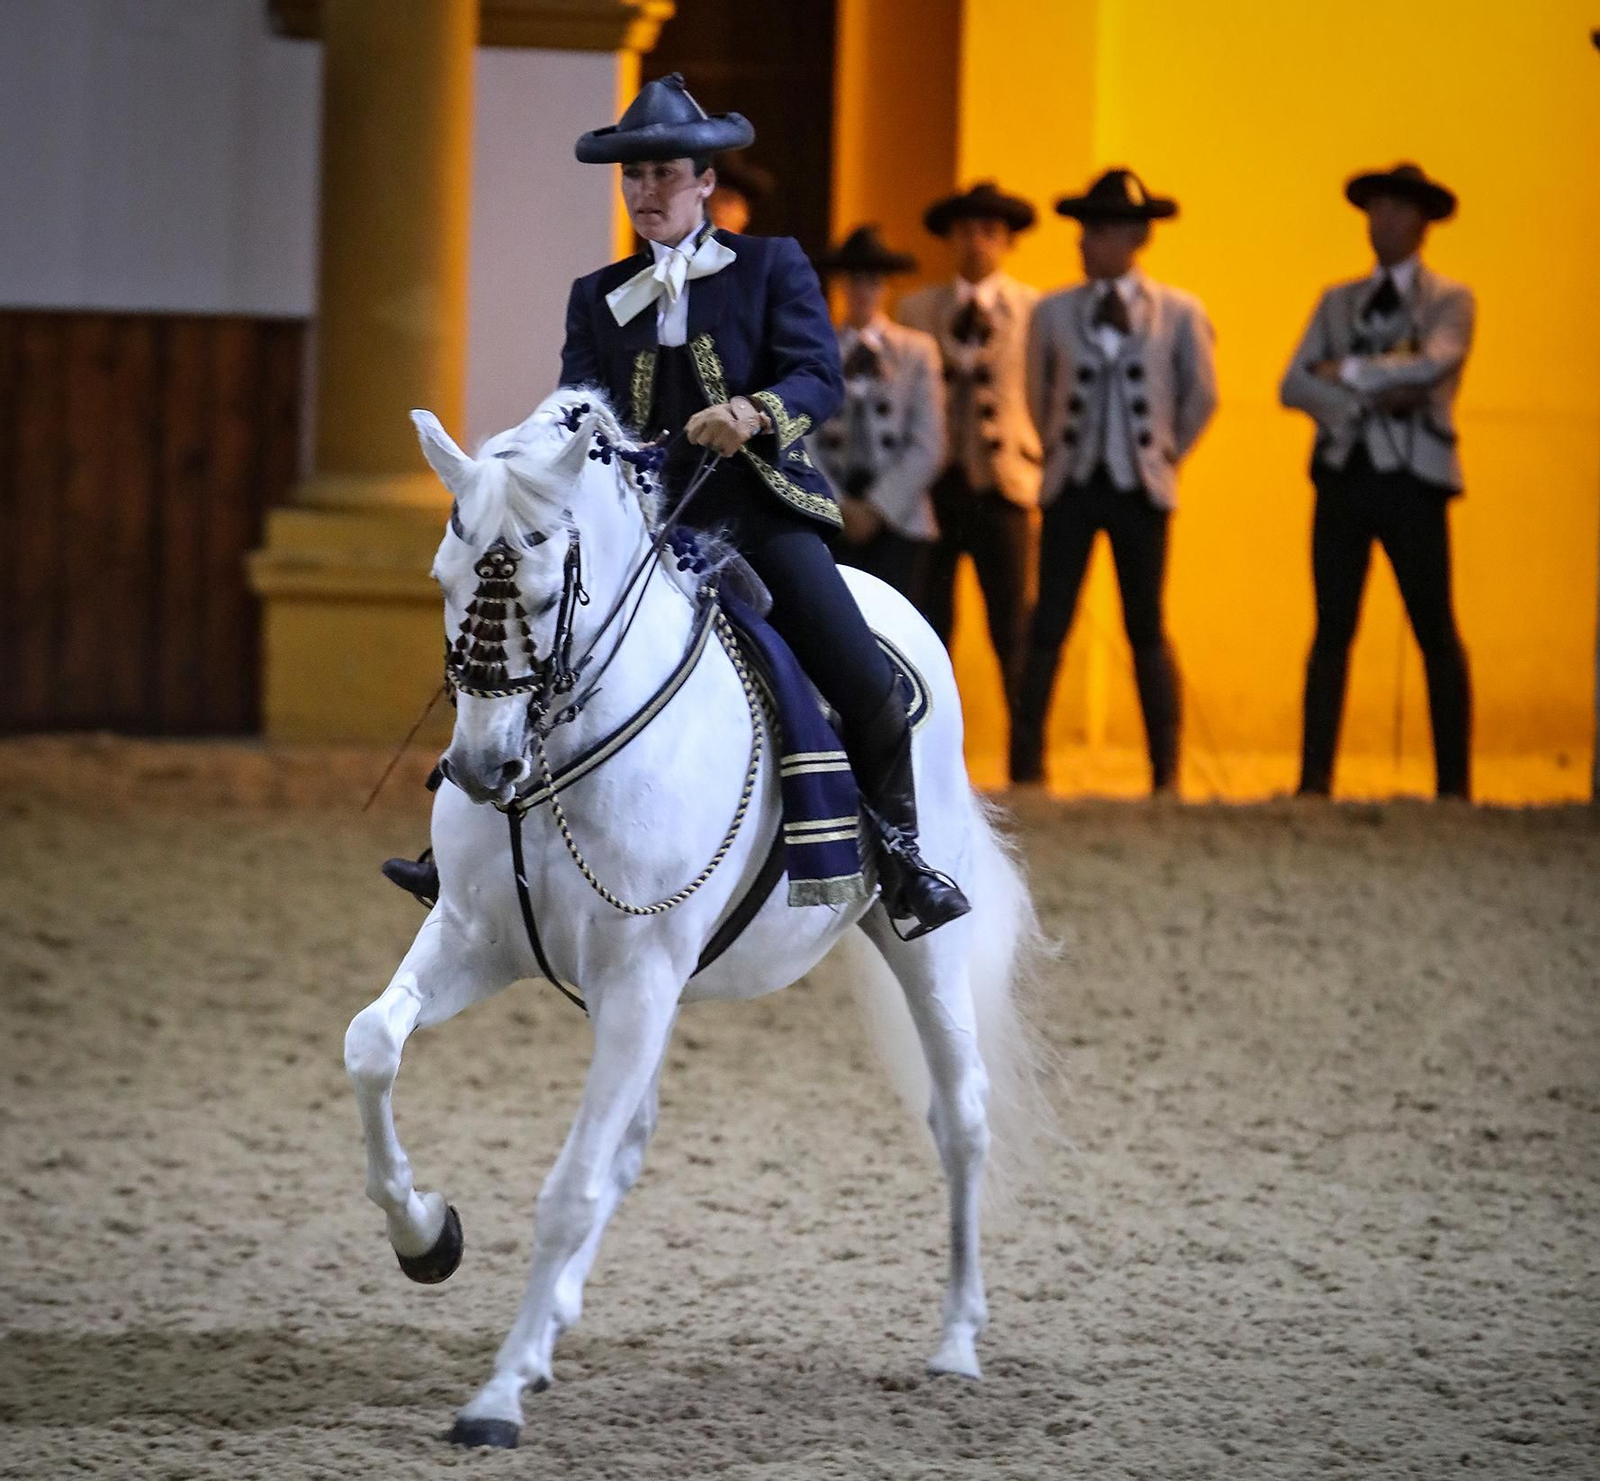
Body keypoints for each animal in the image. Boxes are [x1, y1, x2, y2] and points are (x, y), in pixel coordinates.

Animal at [342, 388, 1049, 1449]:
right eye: (443, 577)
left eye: (545, 594)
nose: (480, 768)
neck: (562, 759)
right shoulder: (475, 938)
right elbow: (373, 1043)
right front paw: (427, 1235)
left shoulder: (639, 977)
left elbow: (572, 1183)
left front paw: (496, 1397)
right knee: (631, 1137)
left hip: (919, 944)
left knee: (959, 1114)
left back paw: (958, 1343)